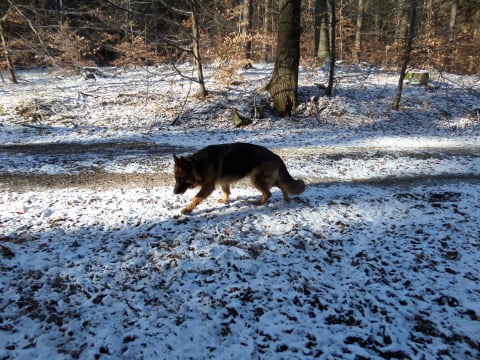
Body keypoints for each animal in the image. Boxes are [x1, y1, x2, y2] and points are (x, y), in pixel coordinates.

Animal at [174, 141, 306, 214]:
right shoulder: (223, 181)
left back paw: (258, 204)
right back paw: (286, 199)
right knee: (282, 186)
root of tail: (276, 156)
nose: (174, 192)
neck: (198, 165)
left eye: (182, 179)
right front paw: (224, 200)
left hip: (255, 179)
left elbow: (196, 198)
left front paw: (188, 209)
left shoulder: (208, 186)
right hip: (268, 179)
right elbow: (226, 191)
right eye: (176, 179)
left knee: (268, 193)